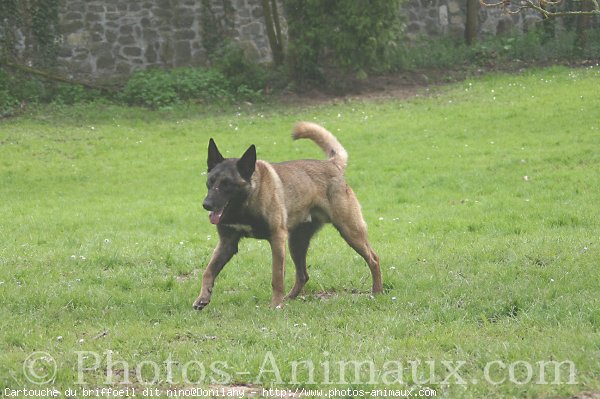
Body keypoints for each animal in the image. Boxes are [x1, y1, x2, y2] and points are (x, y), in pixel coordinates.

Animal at [195, 123, 382, 310]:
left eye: (227, 184)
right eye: (210, 181)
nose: (206, 204)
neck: (245, 203)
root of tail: (332, 164)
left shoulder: (277, 239)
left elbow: (277, 277)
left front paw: (275, 305)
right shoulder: (227, 243)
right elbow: (208, 271)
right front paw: (203, 297)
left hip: (350, 231)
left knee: (373, 259)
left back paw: (377, 291)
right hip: (297, 243)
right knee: (303, 275)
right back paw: (289, 298)